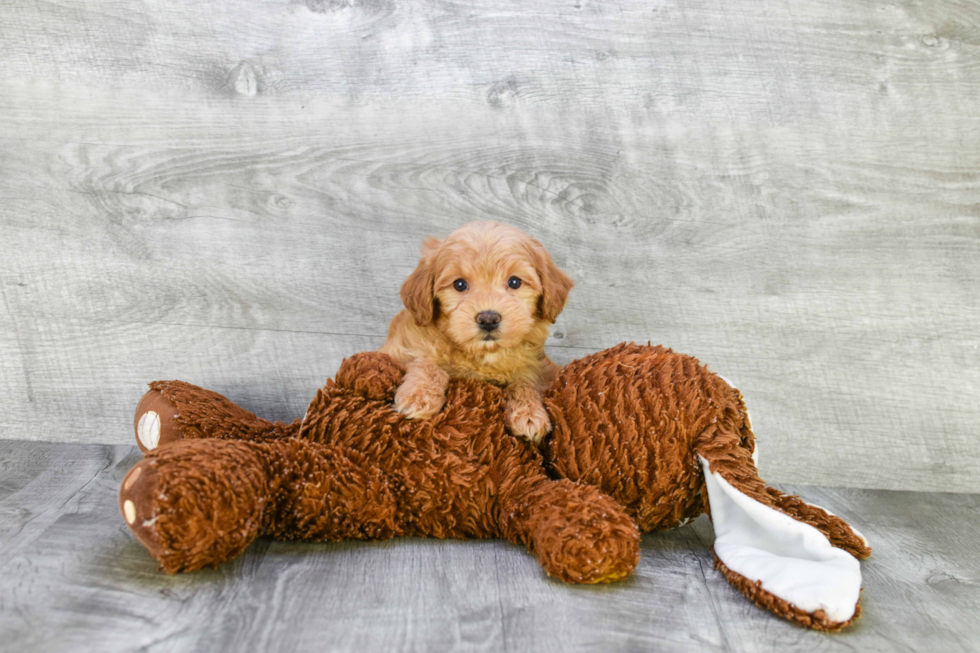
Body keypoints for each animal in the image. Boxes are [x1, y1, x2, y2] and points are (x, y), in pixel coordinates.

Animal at [378, 220, 576, 444]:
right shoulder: (399, 349)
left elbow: (524, 381)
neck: (483, 356)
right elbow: (427, 361)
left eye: (514, 282)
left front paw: (529, 413)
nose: (488, 319)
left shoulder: (540, 368)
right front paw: (419, 395)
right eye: (459, 284)